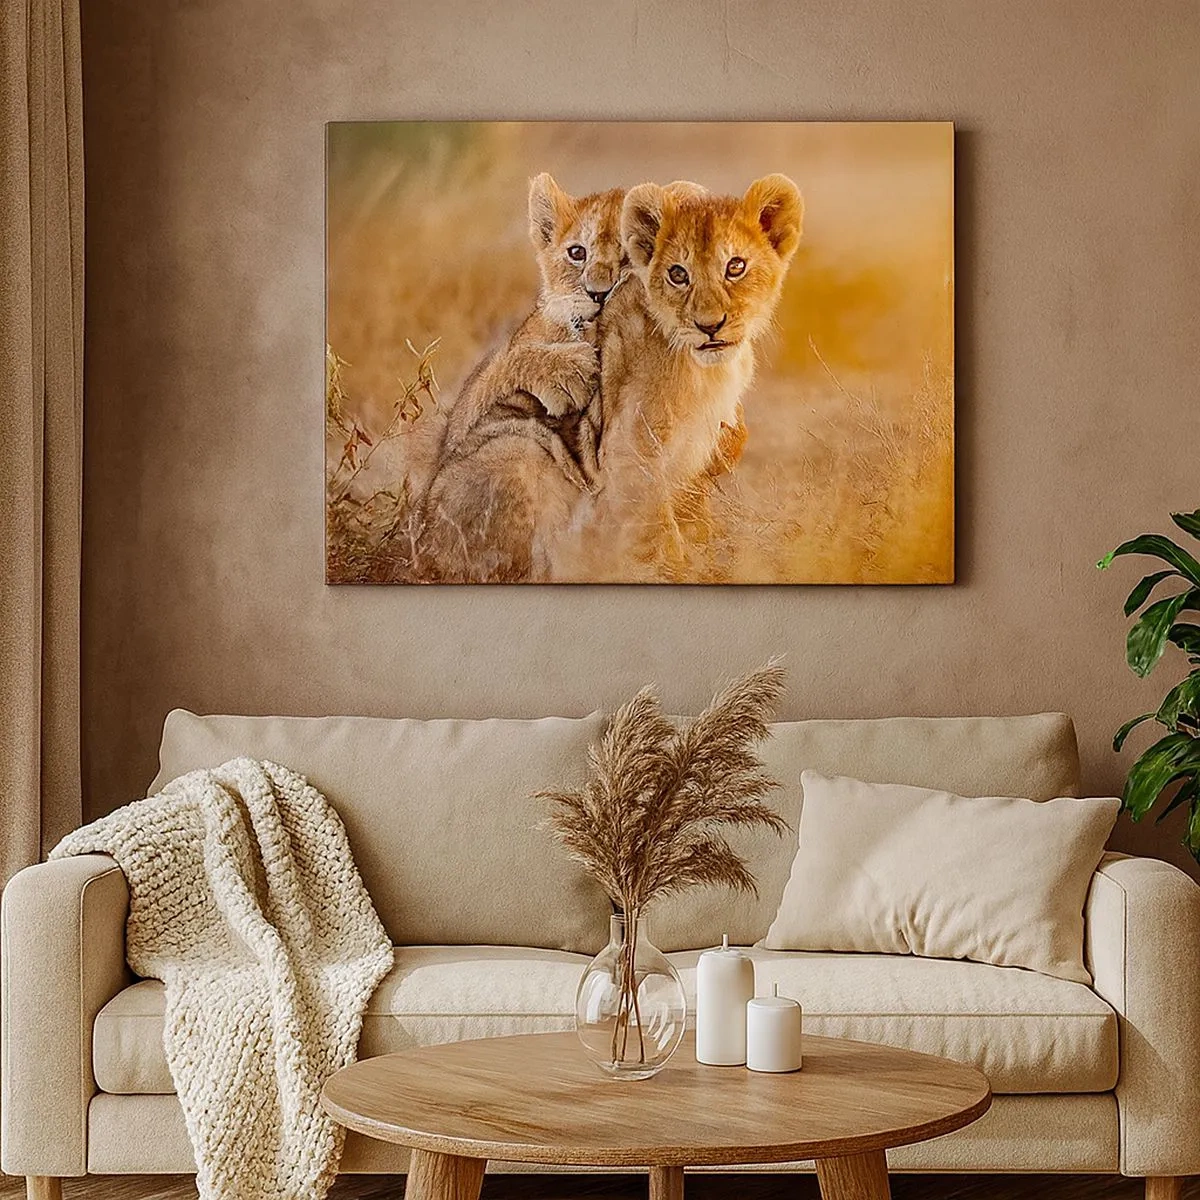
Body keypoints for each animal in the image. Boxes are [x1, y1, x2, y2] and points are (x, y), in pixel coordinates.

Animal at [418, 174, 628, 582]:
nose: (599, 293)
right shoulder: (469, 410)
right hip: (514, 451)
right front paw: (568, 371)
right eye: (577, 253)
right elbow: (507, 362)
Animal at [555, 174, 803, 580]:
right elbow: (656, 530)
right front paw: (677, 569)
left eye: (735, 266)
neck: (705, 371)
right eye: (678, 275)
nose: (709, 326)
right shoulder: (627, 453)